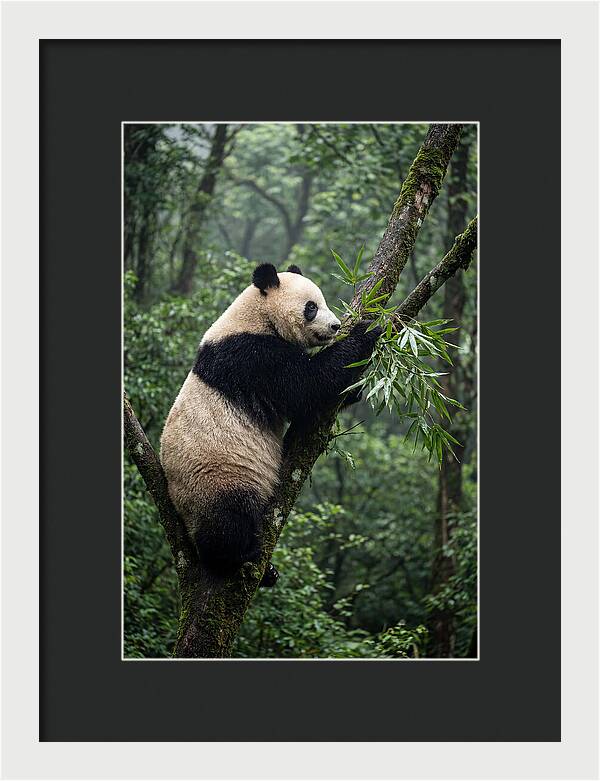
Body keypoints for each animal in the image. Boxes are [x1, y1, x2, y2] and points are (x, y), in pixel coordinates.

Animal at [160, 262, 380, 587]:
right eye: (311, 307)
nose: (336, 326)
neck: (256, 316)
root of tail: (180, 511)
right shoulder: (251, 357)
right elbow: (307, 386)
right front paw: (368, 328)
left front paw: (355, 389)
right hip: (215, 478)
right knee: (228, 520)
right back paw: (240, 557)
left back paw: (267, 571)